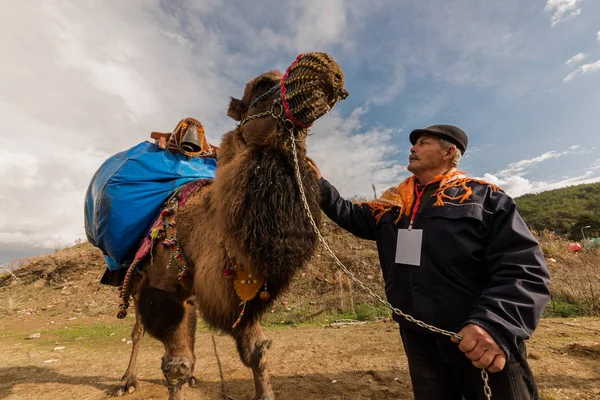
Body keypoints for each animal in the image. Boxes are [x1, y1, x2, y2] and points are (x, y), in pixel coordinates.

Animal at [115, 54, 346, 400]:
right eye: (261, 84)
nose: (326, 66)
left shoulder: (240, 294)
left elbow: (257, 350)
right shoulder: (162, 288)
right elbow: (175, 366)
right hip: (139, 280)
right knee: (140, 329)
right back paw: (127, 381)